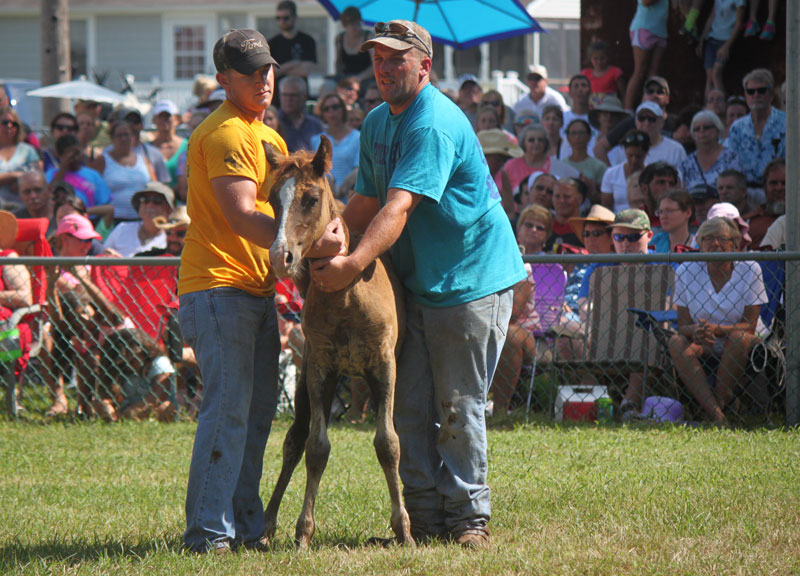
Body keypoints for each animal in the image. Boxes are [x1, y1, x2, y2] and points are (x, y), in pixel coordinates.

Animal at [264, 135, 412, 548]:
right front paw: (303, 532)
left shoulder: (385, 367)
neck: (346, 295)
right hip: (302, 383)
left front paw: (404, 528)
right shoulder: (319, 369)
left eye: (311, 198)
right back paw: (266, 523)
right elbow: (316, 447)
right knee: (294, 441)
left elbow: (389, 443)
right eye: (273, 200)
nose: (281, 257)